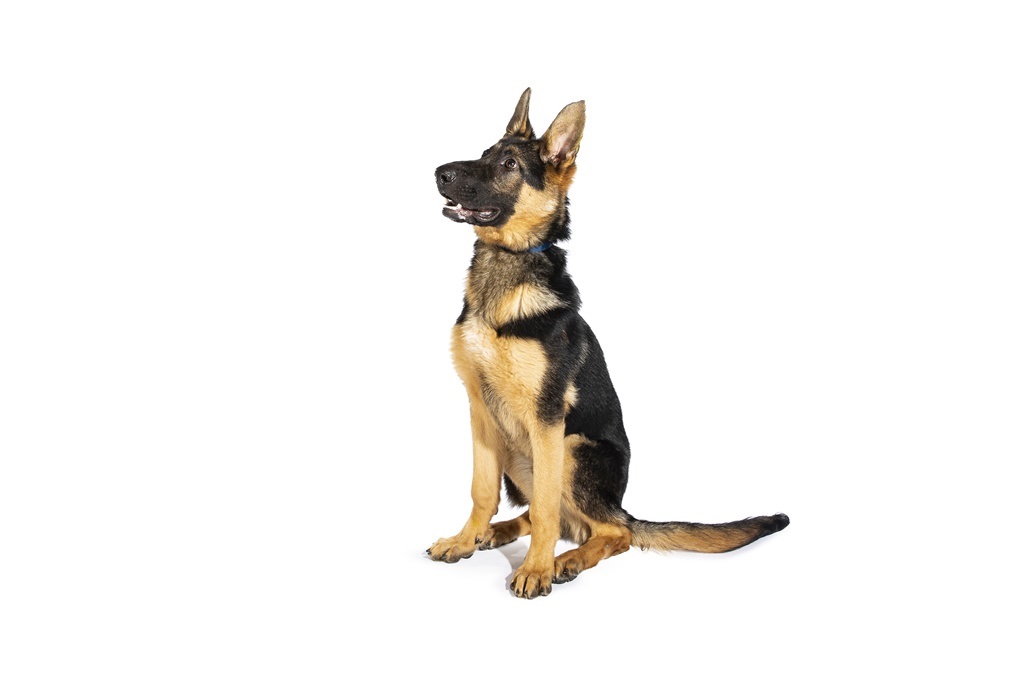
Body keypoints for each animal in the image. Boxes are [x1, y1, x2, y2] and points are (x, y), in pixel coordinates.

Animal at [428, 88, 789, 599]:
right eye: (483, 154)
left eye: (510, 165)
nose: (439, 173)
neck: (507, 265)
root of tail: (621, 505)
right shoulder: (479, 408)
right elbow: (483, 490)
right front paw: (464, 539)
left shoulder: (547, 415)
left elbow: (545, 508)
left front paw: (536, 569)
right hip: (520, 451)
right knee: (552, 517)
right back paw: (498, 533)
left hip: (573, 447)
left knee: (610, 531)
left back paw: (568, 559)